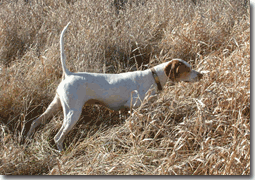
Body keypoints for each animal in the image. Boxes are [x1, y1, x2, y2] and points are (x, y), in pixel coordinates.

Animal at [26, 22, 203, 152]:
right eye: (187, 70)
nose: (201, 74)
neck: (154, 76)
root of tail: (69, 74)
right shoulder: (134, 106)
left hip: (56, 105)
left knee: (36, 121)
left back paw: (27, 137)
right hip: (72, 113)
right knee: (58, 137)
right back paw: (61, 154)